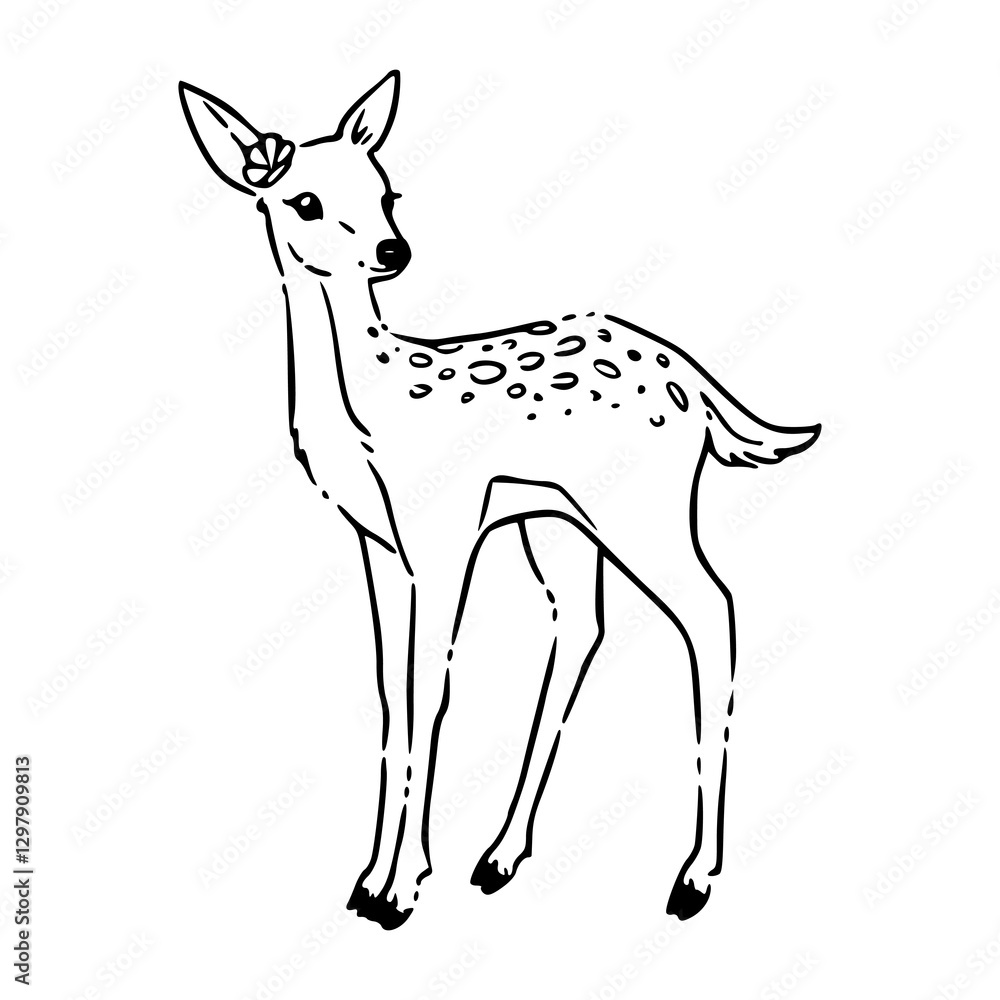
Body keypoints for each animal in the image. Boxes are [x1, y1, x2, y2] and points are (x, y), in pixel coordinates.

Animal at [179, 70, 820, 931]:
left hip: (645, 508)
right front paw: (369, 879)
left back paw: (693, 879)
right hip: (561, 522)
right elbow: (391, 695)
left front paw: (398, 889)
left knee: (712, 610)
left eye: (387, 191)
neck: (369, 410)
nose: (392, 250)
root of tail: (695, 383)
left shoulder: (441, 531)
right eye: (303, 201)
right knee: (584, 626)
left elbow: (431, 692)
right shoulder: (380, 545)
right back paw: (502, 856)